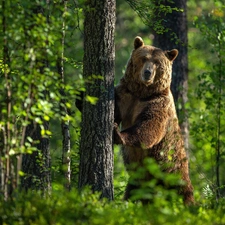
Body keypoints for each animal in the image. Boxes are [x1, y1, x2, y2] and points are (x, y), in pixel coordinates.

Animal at [113, 36, 194, 205]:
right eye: (144, 58)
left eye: (157, 62)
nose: (148, 72)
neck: (143, 92)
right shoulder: (126, 95)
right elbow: (115, 109)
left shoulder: (158, 103)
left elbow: (149, 127)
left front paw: (118, 133)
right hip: (138, 182)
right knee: (132, 194)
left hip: (172, 172)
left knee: (183, 195)